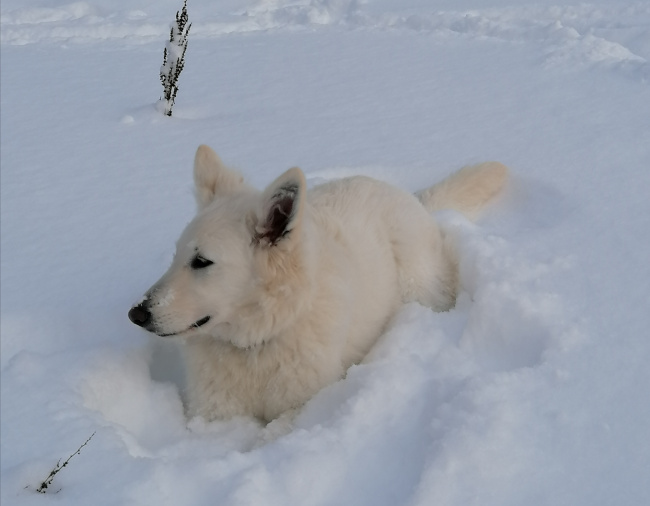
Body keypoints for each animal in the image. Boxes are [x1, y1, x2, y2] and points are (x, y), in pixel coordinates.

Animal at [129, 144, 506, 422]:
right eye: (176, 256)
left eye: (202, 262)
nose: (136, 314)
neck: (259, 343)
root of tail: (414, 198)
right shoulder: (215, 417)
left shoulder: (299, 410)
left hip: (417, 285)